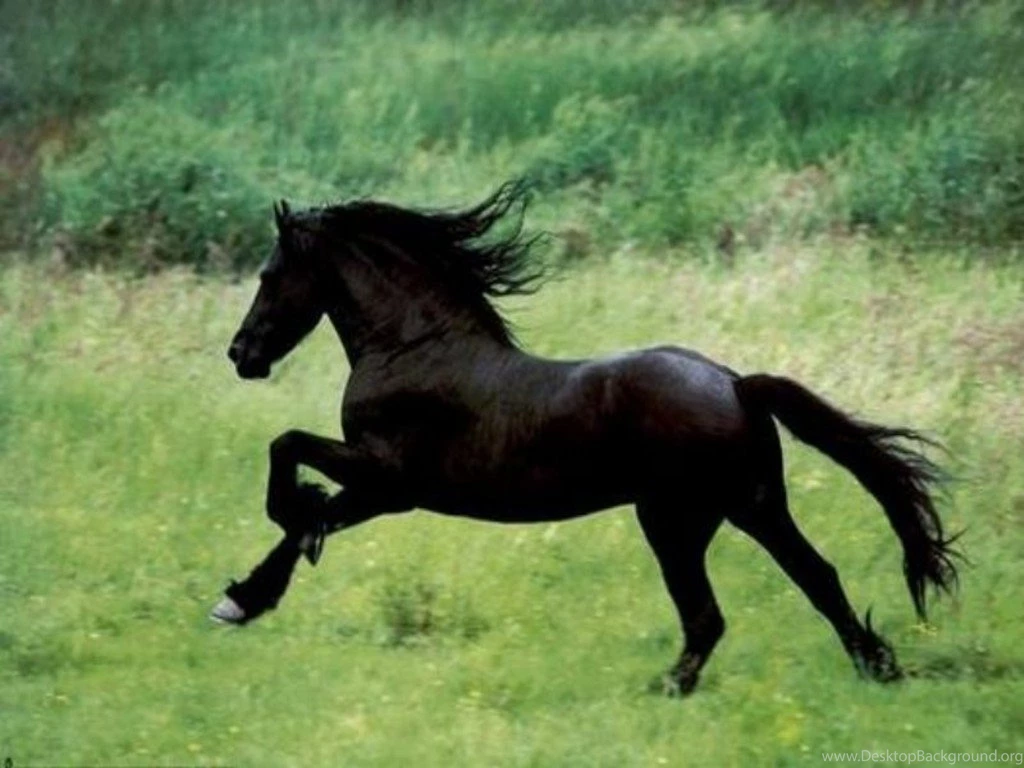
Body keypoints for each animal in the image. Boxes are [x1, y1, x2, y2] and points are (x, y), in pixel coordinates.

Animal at [212, 181, 960, 695]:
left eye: (270, 275)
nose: (240, 354)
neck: (412, 348)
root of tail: (735, 384)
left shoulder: (388, 476)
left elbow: (286, 453)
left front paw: (288, 520)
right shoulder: (382, 492)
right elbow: (305, 523)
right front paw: (245, 598)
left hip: (676, 521)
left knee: (711, 615)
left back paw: (668, 688)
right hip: (751, 506)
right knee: (815, 578)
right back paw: (878, 667)